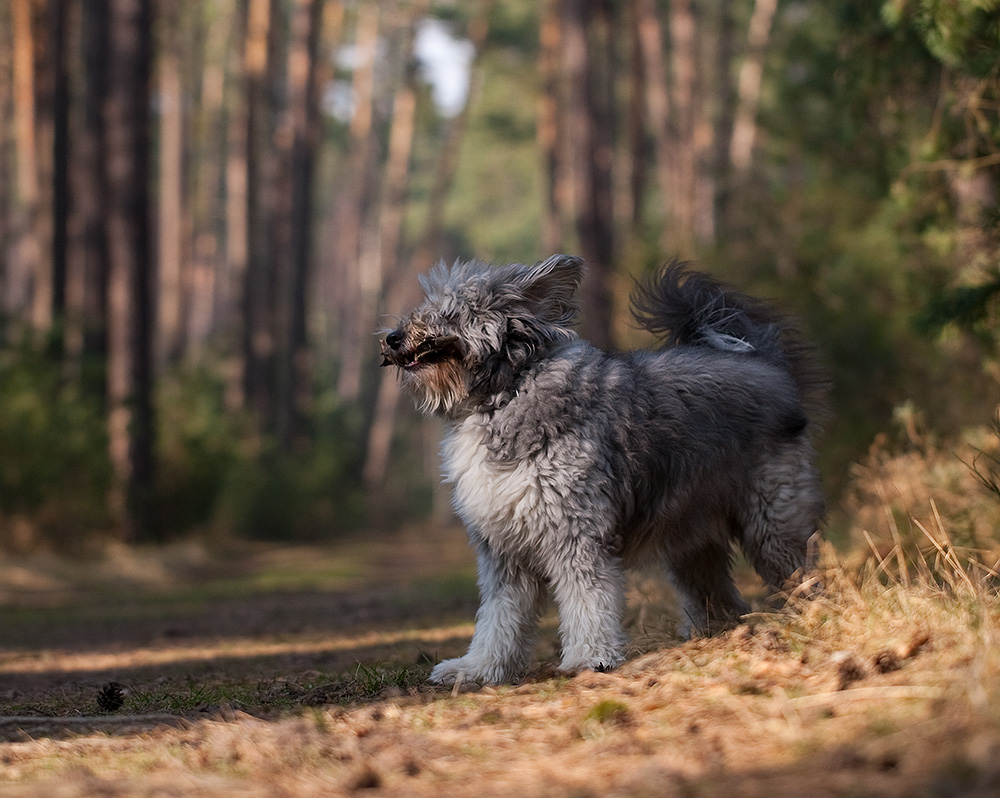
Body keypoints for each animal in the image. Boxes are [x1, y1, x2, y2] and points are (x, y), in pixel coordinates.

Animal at [378, 256, 824, 688]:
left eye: (448, 312)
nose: (393, 337)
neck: (506, 393)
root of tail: (765, 366)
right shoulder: (503, 550)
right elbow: (499, 618)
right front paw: (479, 668)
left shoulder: (576, 532)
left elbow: (587, 599)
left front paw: (590, 657)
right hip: (689, 538)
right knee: (720, 596)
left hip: (772, 522)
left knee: (801, 572)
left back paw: (812, 617)